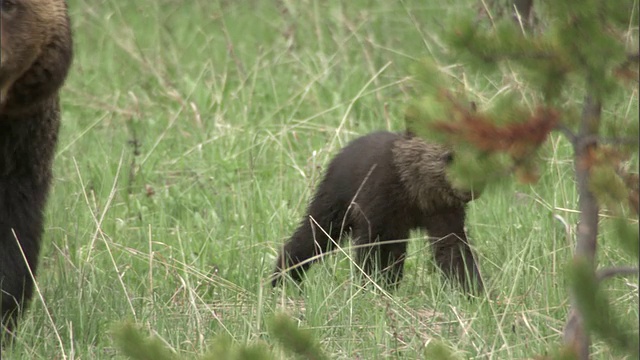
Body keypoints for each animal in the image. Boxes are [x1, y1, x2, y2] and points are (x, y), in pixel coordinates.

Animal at [272, 131, 484, 294]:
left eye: (478, 155)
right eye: (449, 157)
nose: (473, 188)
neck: (415, 192)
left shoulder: (444, 214)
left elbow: (454, 250)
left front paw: (473, 291)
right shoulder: (378, 212)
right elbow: (372, 254)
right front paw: (371, 288)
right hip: (335, 206)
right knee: (312, 237)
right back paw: (281, 278)